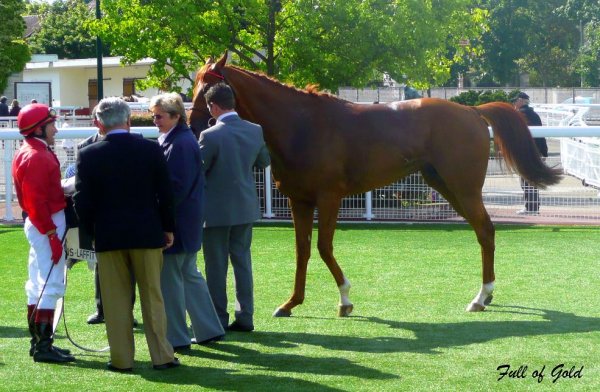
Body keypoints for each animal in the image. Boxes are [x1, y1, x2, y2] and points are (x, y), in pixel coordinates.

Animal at [189, 52, 564, 316]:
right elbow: (302, 250)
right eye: (195, 86)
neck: (303, 124)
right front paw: (291, 303)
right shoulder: (300, 200)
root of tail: (472, 111)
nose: (192, 126)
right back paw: (486, 295)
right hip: (444, 185)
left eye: (207, 88)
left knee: (485, 230)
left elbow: (324, 247)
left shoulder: (329, 197)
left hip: (464, 187)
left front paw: (344, 299)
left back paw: (481, 296)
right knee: (481, 230)